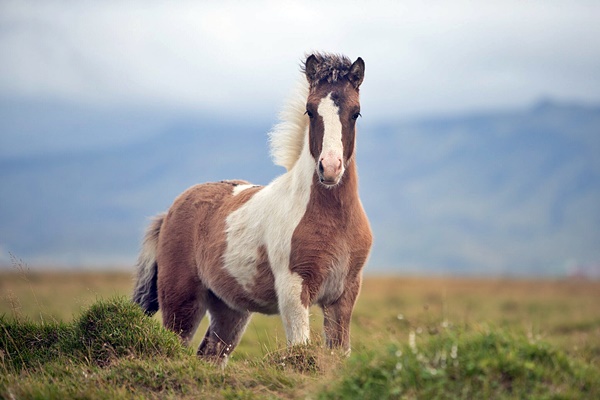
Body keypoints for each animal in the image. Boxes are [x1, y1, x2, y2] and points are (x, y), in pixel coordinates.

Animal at [134, 52, 372, 362]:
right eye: (310, 111)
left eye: (356, 113)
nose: (330, 169)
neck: (335, 221)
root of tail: (170, 211)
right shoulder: (293, 290)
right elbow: (300, 352)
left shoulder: (344, 294)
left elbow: (339, 354)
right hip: (181, 299)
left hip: (229, 308)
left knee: (210, 354)